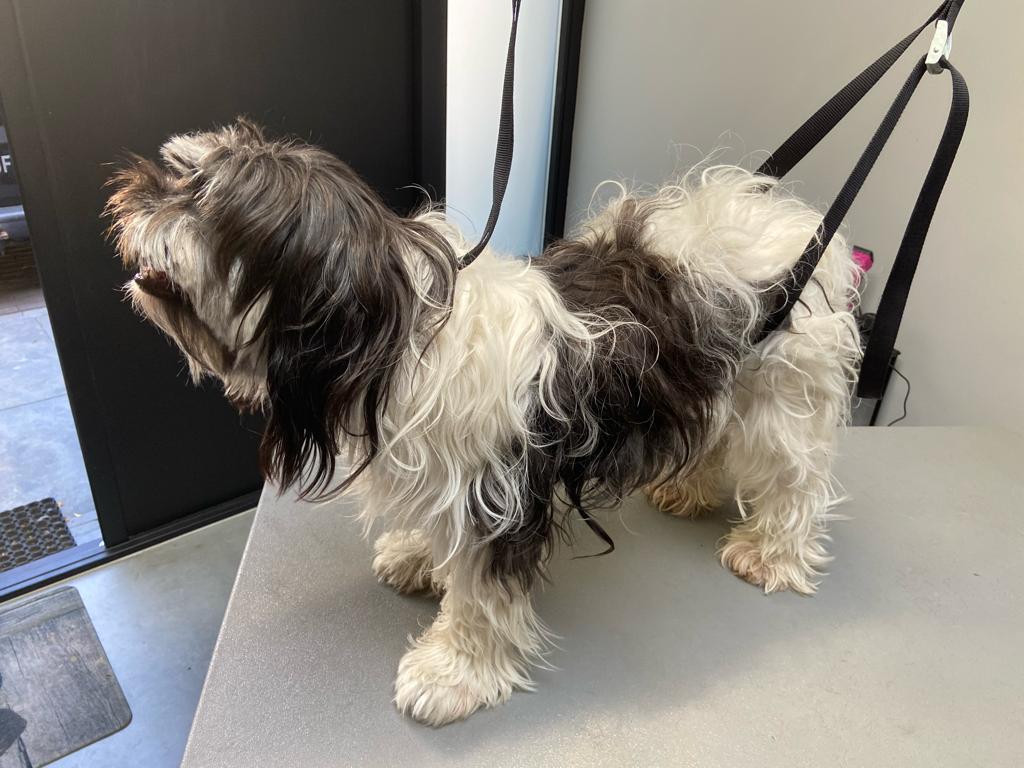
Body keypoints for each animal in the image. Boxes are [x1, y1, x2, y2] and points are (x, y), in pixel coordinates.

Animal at [107, 119, 861, 725]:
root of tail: (780, 221)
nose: (133, 194)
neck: (391, 338)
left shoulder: (499, 495)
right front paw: (418, 556)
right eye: (178, 174)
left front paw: (454, 675)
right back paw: (688, 490)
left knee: (797, 483)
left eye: (205, 199)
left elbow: (481, 597)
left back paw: (773, 553)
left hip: (782, 400)